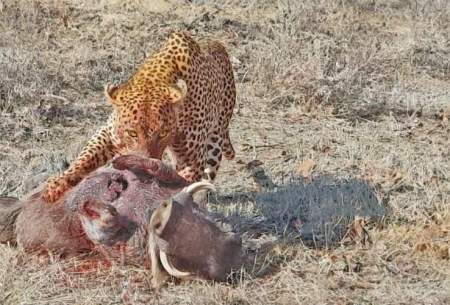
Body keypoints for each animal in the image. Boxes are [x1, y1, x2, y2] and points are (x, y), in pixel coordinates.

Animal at [41, 30, 236, 203]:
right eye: (132, 133)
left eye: (163, 133)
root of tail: (217, 44)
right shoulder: (109, 133)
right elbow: (84, 158)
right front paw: (56, 184)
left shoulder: (191, 159)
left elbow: (179, 184)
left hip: (215, 139)